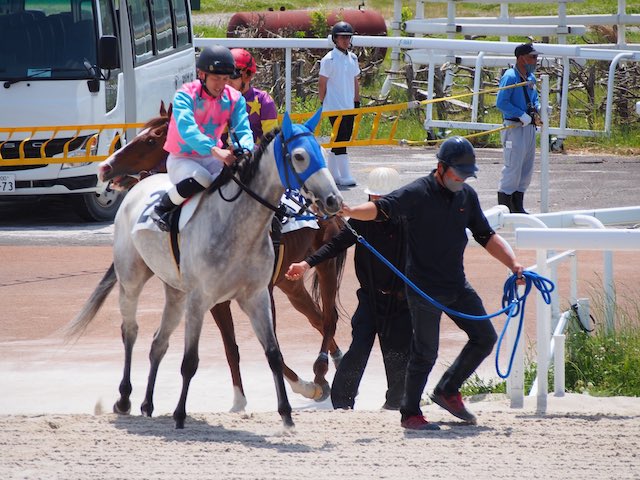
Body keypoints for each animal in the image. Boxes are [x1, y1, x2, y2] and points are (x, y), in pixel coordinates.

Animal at [100, 104, 348, 412]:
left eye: (149, 140)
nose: (106, 166)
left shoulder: (261, 291)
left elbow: (272, 346)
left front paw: (302, 385)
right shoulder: (217, 299)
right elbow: (232, 347)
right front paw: (239, 399)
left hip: (326, 262)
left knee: (328, 318)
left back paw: (321, 371)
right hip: (291, 280)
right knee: (315, 315)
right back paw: (333, 364)